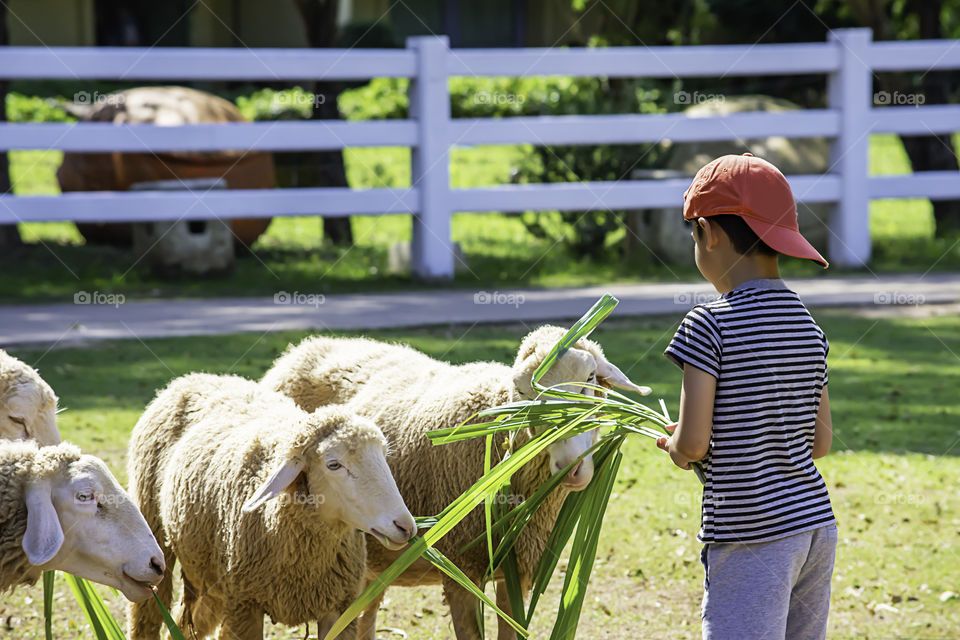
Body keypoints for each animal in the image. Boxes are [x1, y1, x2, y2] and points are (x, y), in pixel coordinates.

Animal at [125, 372, 414, 640]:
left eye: (383, 456)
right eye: (334, 464)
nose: (406, 526)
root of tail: (191, 377)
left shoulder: (338, 609)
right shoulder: (245, 607)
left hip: (210, 577)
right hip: (153, 535)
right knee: (147, 617)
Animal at [258, 324, 648, 640]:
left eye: (592, 378)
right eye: (523, 393)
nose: (571, 466)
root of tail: (305, 346)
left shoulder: (517, 572)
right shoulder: (462, 570)